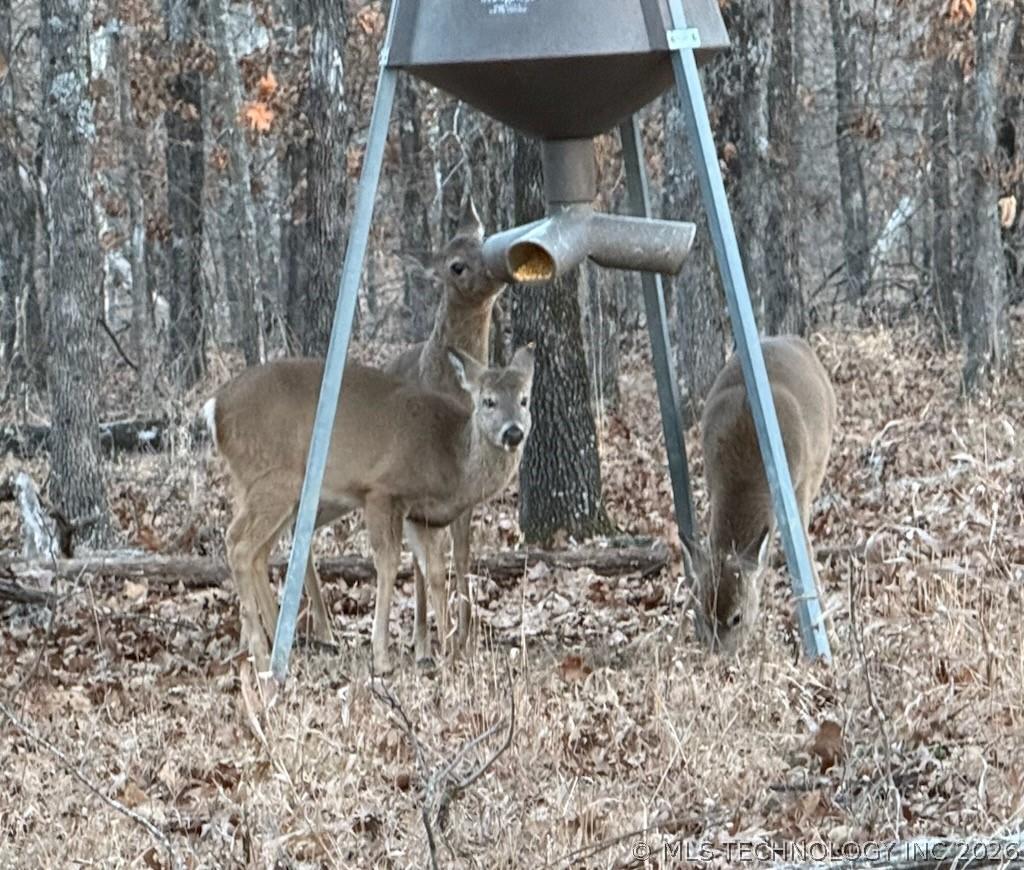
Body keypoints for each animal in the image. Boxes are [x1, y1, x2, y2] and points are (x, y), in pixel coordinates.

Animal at [204, 345, 534, 673]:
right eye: (488, 401)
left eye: (524, 399)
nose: (513, 433)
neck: (451, 455)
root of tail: (215, 407)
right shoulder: (382, 491)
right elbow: (388, 565)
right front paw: (382, 657)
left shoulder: (421, 517)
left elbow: (436, 574)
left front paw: (451, 654)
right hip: (273, 478)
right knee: (238, 543)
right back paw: (263, 656)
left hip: (266, 489)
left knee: (259, 551)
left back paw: (285, 647)